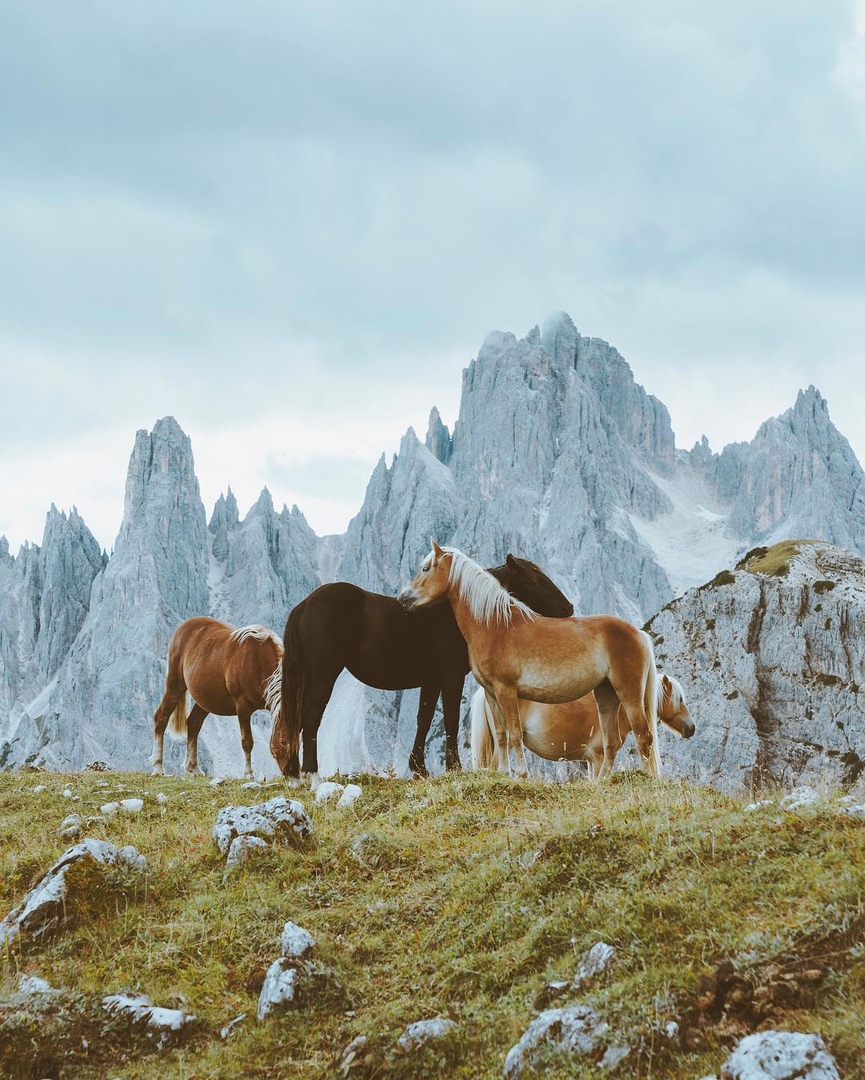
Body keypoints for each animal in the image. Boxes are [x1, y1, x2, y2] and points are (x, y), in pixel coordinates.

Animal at [150, 617, 280, 777]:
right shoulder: (242, 707)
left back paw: (194, 768)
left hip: (205, 700)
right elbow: (247, 742)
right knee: (161, 718)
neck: (257, 660)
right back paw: (158, 767)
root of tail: (184, 626)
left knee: (193, 723)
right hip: (175, 686)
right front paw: (249, 774)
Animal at [266, 557, 570, 777]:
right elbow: (449, 719)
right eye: (534, 579)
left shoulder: (431, 680)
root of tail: (306, 604)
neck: (456, 613)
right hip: (323, 675)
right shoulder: (450, 677)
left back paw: (294, 772)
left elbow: (423, 719)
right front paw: (453, 767)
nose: (568, 608)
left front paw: (419, 768)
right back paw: (311, 774)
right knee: (310, 718)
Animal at [397, 544, 660, 781]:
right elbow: (501, 734)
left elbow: (514, 734)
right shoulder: (491, 693)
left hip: (628, 692)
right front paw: (504, 773)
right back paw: (601, 784)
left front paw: (521, 774)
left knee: (643, 735)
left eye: (426, 568)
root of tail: (638, 634)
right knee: (611, 743)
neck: (496, 626)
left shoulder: (506, 690)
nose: (403, 597)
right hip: (606, 695)